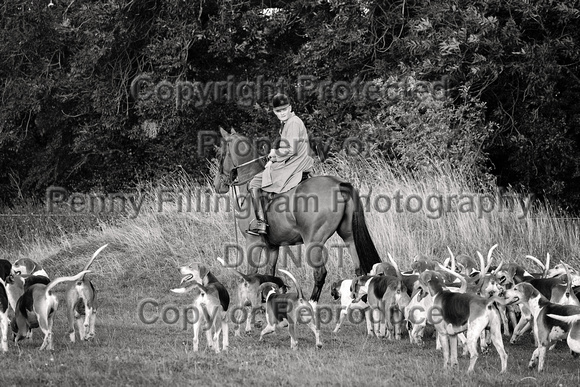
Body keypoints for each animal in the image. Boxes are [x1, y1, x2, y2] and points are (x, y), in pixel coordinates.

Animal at [212, 128, 380, 304]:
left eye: (220, 154)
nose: (218, 185)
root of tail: (339, 184)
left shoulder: (253, 242)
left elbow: (251, 274)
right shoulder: (272, 247)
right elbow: (269, 275)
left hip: (313, 240)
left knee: (320, 273)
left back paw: (311, 303)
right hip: (349, 236)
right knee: (359, 270)